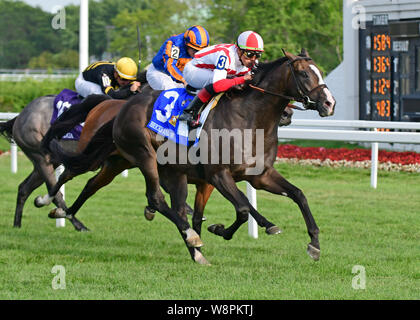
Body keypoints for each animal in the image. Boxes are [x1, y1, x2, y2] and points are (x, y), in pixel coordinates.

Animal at [45, 48, 334, 262]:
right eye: (303, 73)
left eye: (319, 72)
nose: (330, 103)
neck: (249, 117)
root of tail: (123, 107)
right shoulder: (217, 175)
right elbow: (242, 209)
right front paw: (223, 229)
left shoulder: (259, 175)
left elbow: (298, 194)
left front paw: (314, 243)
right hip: (141, 156)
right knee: (153, 197)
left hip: (147, 166)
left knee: (101, 185)